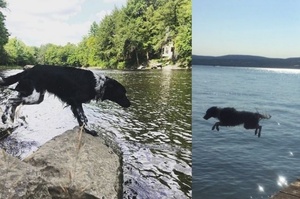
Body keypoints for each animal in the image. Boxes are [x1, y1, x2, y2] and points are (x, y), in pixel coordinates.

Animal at [0, 64, 131, 136]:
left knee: (14, 101)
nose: (129, 104)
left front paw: (84, 129)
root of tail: (28, 70)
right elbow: (83, 118)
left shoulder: (74, 103)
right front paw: (89, 130)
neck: (97, 83)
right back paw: (5, 118)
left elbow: (81, 118)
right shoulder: (76, 101)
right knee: (9, 100)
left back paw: (10, 119)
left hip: (35, 96)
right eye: (122, 93)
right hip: (34, 96)